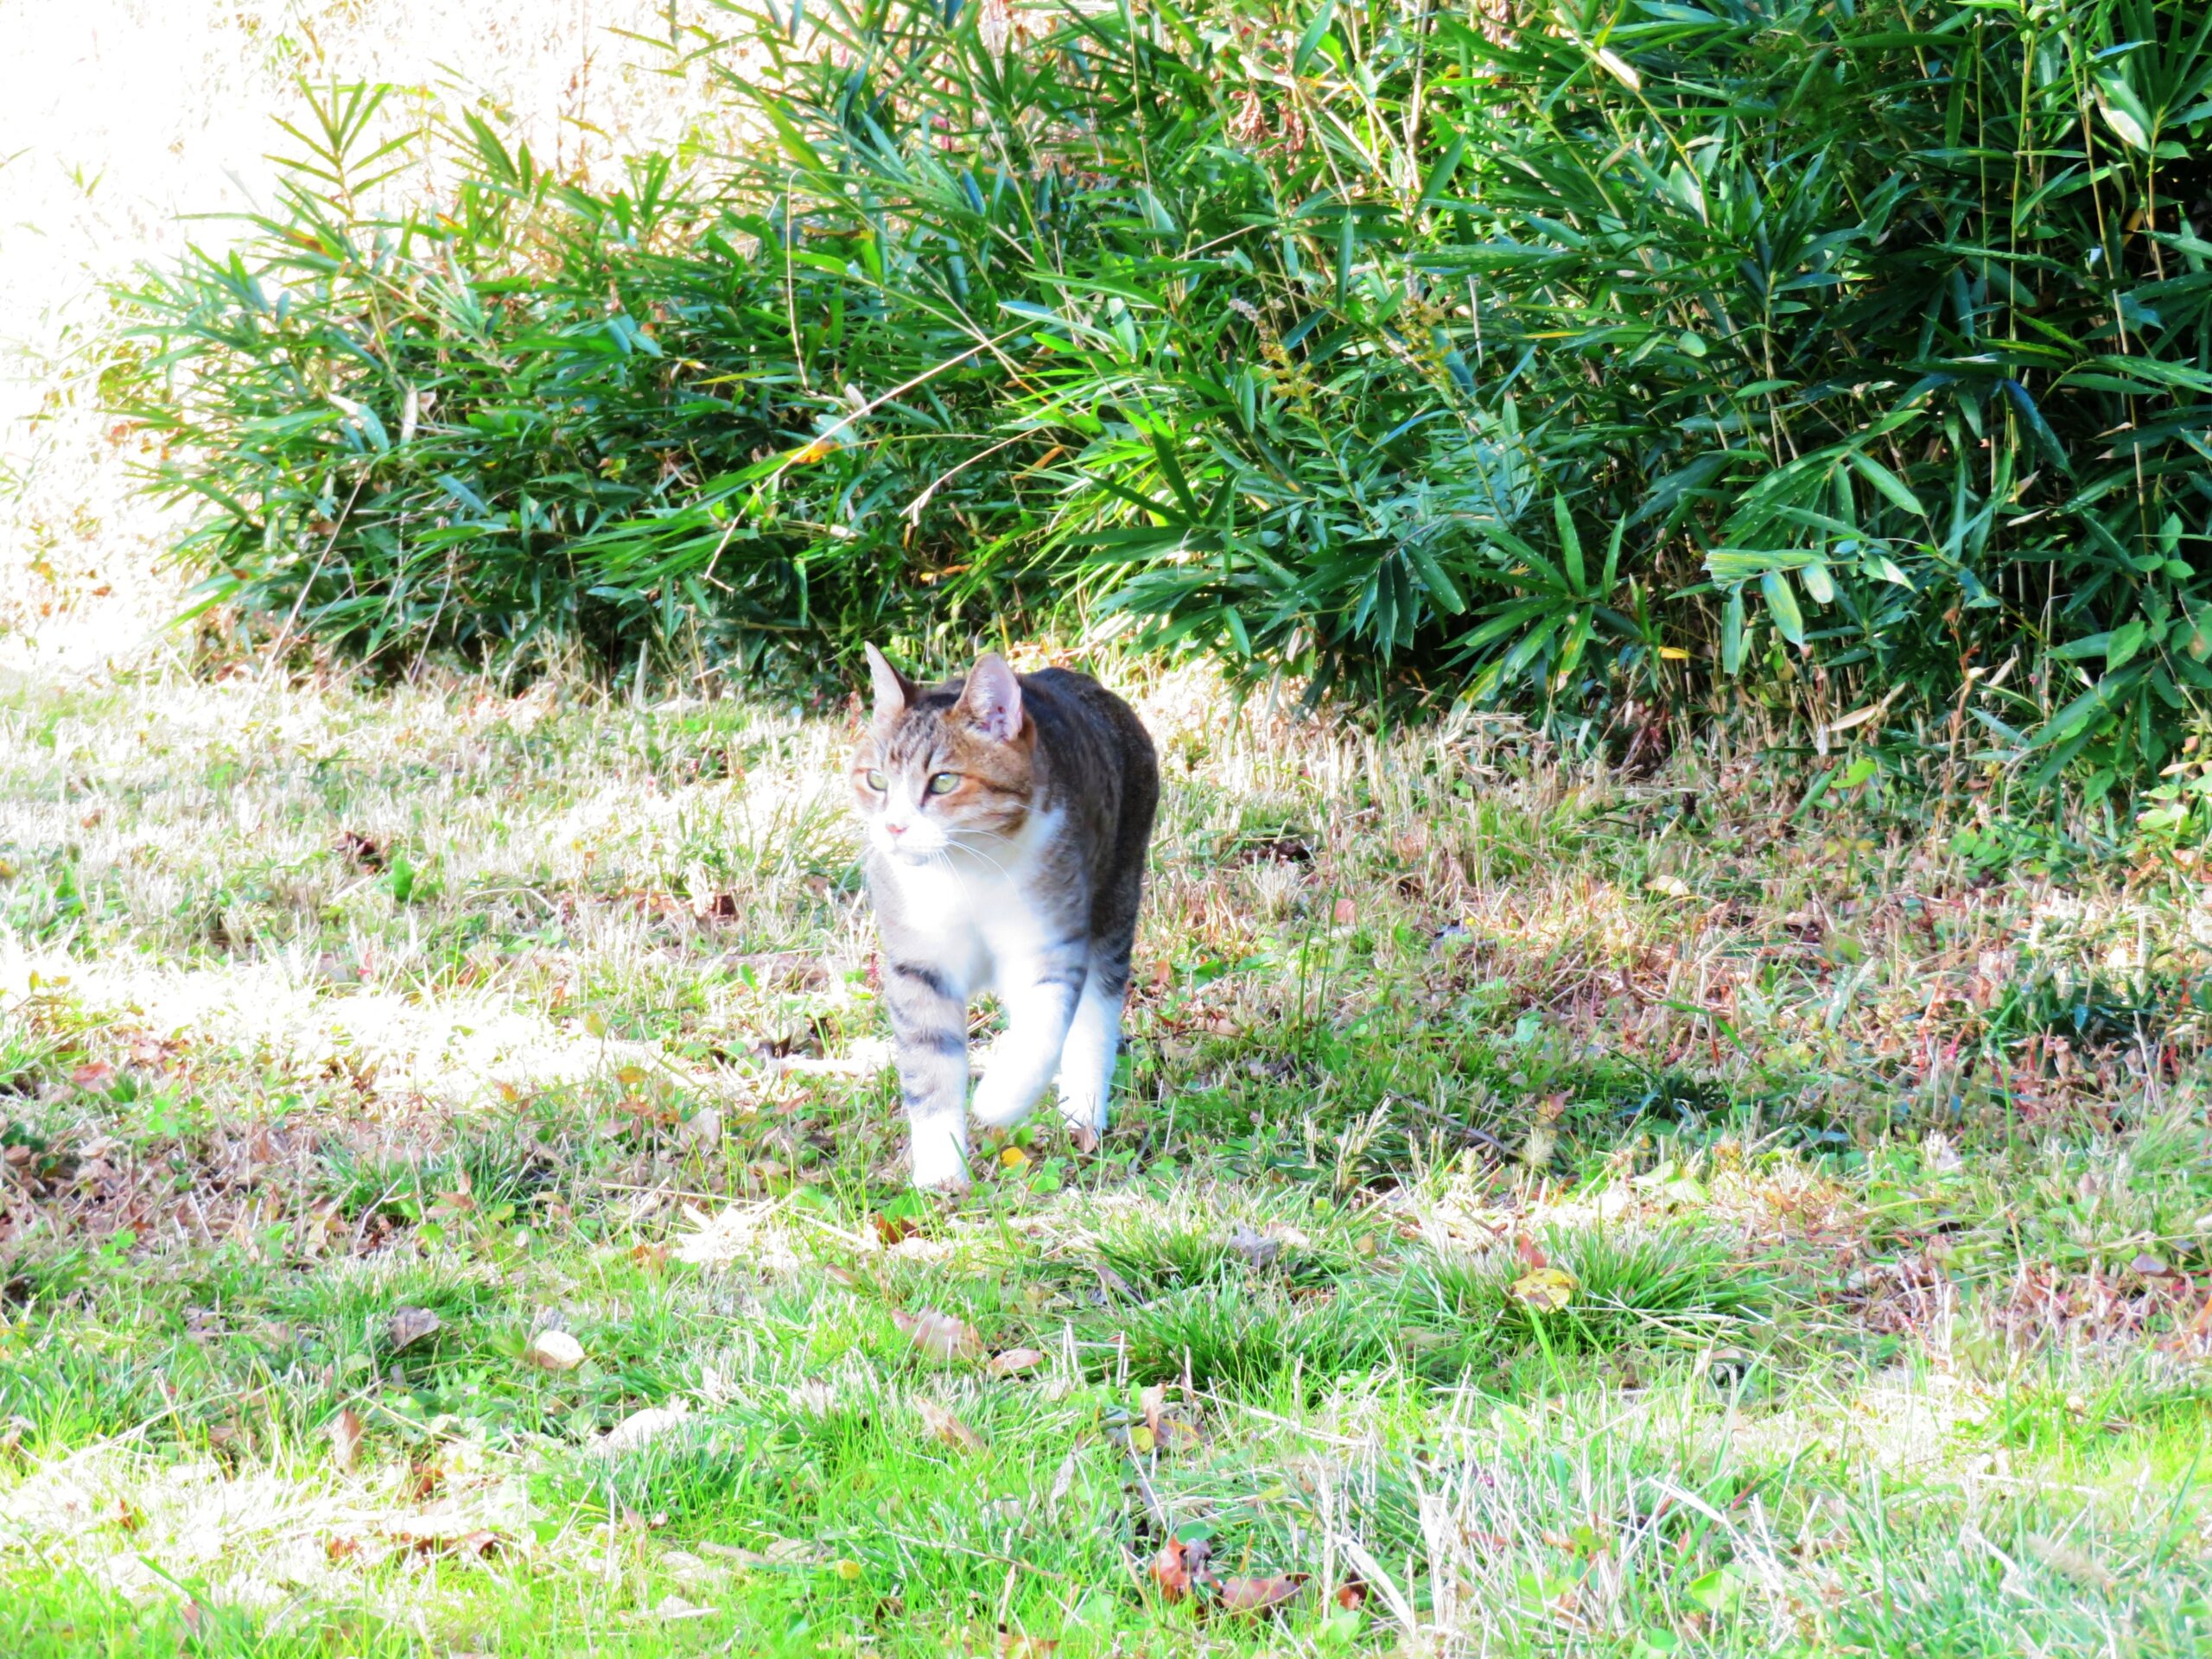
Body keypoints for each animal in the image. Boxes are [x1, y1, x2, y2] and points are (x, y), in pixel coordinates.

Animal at [849, 650, 1167, 1194]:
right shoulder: (919, 960)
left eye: (944, 781)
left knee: (1096, 1006)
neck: (964, 873)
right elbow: (928, 1059)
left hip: (1117, 884)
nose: (893, 827)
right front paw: (940, 1173)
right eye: (876, 781)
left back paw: (1083, 1112)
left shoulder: (1051, 939)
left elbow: (1043, 1029)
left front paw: (999, 1100)